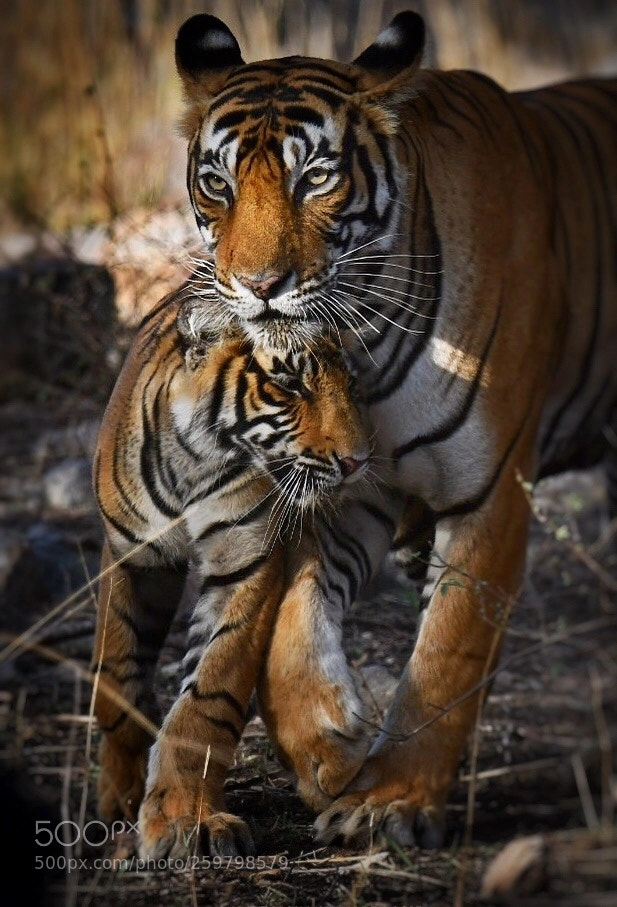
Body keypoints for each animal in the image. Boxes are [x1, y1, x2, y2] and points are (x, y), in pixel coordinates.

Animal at [91, 288, 400, 857]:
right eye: (290, 383)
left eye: (352, 384)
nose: (358, 461)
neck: (192, 460)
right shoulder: (132, 555)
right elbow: (117, 676)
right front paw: (119, 797)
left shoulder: (246, 563)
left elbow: (209, 694)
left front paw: (186, 819)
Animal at [171, 10, 617, 851]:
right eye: (217, 183)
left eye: (314, 178)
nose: (257, 286)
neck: (364, 339)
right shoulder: (353, 483)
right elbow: (290, 628)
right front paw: (328, 749)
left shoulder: (489, 492)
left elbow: (446, 649)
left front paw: (392, 801)